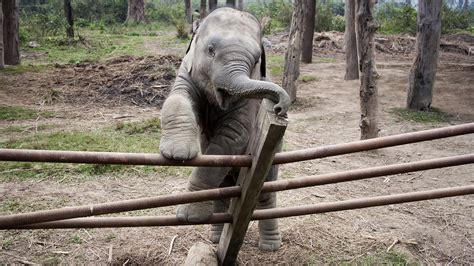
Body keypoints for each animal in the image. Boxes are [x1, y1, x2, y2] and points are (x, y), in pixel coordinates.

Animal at [159, 7, 288, 250]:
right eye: (210, 50)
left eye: (256, 61)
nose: (279, 106)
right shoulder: (187, 70)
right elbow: (178, 97)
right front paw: (178, 154)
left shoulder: (248, 103)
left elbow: (233, 135)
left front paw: (188, 217)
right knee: (222, 192)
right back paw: (216, 239)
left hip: (274, 155)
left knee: (265, 193)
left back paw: (270, 247)